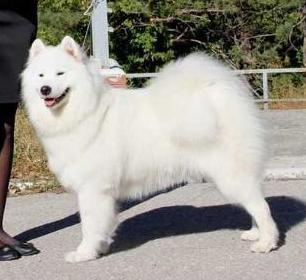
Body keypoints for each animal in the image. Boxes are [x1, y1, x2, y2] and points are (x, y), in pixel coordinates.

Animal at [22, 36, 280, 262]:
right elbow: (103, 224)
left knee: (261, 207)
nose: (45, 89)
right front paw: (101, 248)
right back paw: (255, 233)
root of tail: (219, 94)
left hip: (229, 175)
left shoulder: (92, 190)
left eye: (60, 73)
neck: (85, 111)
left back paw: (266, 242)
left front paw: (84, 253)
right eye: (41, 75)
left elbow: (89, 225)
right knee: (256, 202)